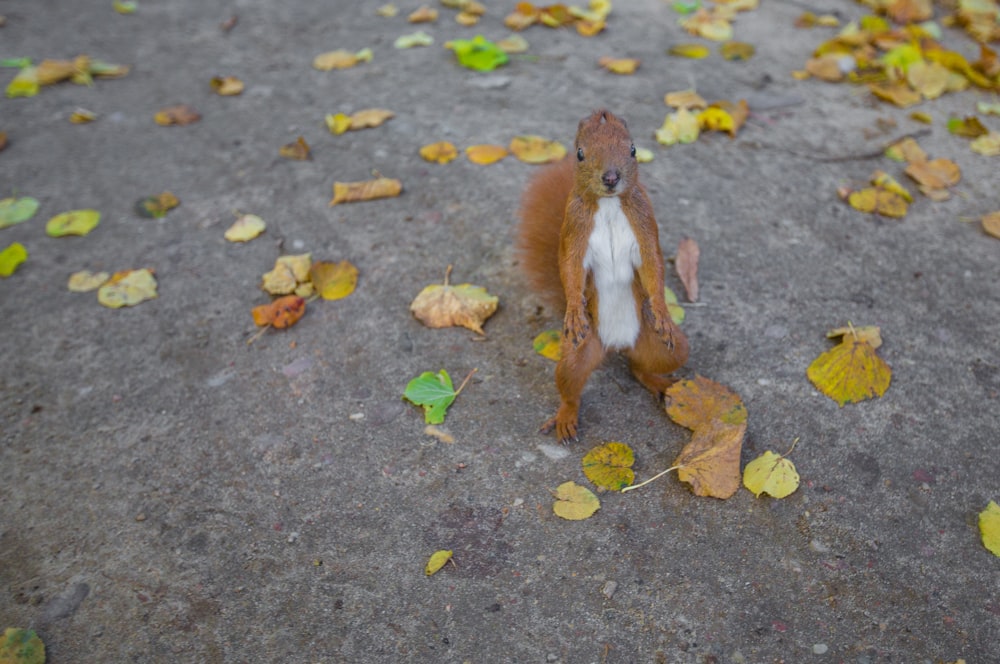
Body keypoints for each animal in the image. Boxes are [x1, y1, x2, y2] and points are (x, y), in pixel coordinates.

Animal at [516, 107, 688, 440]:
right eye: (580, 153)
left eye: (633, 149)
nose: (610, 177)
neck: (608, 204)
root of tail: (617, 344)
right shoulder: (574, 228)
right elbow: (570, 269)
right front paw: (573, 309)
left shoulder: (644, 222)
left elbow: (653, 265)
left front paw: (662, 310)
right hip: (578, 352)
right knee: (571, 385)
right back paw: (566, 417)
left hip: (666, 348)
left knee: (640, 367)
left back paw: (658, 382)